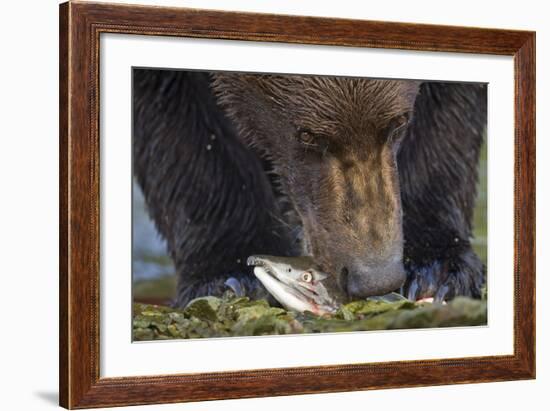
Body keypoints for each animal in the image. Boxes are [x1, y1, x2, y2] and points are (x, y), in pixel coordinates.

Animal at [133, 69, 488, 308]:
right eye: (307, 135)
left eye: (398, 123)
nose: (375, 277)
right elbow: (180, 133)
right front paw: (230, 278)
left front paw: (438, 271)